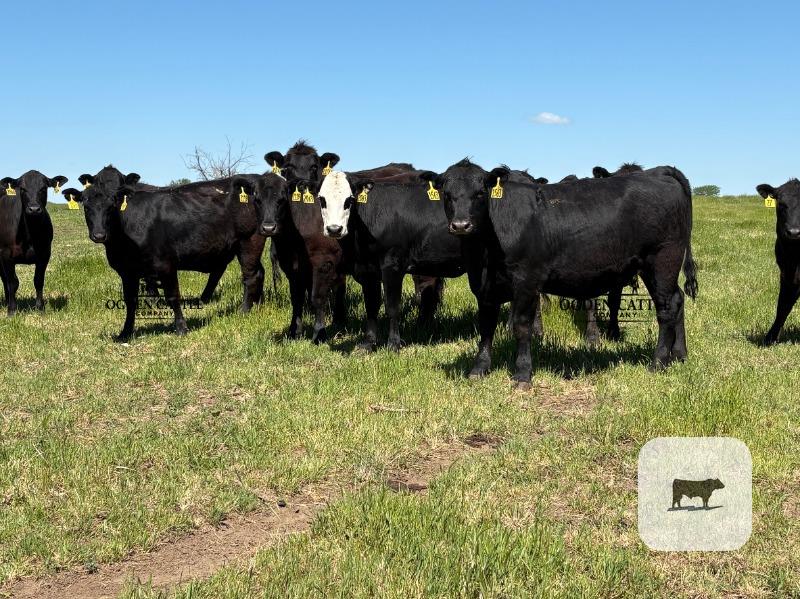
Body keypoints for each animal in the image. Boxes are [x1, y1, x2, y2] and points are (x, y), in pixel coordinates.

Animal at [0, 171, 67, 315]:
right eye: (22, 189)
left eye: (43, 188)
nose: (34, 209)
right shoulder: (6, 254)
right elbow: (12, 282)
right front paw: (12, 310)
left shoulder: (45, 254)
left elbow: (38, 280)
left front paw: (40, 308)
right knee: (4, 278)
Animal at [60, 170, 284, 339]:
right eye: (86, 206)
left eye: (111, 205)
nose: (99, 234)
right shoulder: (127, 271)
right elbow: (130, 301)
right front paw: (125, 332)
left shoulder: (165, 264)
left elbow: (173, 296)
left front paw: (181, 328)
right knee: (259, 273)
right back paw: (257, 305)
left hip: (250, 240)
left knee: (250, 276)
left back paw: (243, 311)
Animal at [424, 159, 698, 388]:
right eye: (447, 194)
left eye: (480, 193)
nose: (461, 225)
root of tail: (660, 170)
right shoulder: (483, 287)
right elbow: (486, 327)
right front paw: (479, 369)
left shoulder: (526, 281)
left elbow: (522, 326)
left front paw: (522, 375)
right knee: (678, 299)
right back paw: (679, 355)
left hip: (662, 260)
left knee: (666, 307)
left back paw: (658, 362)